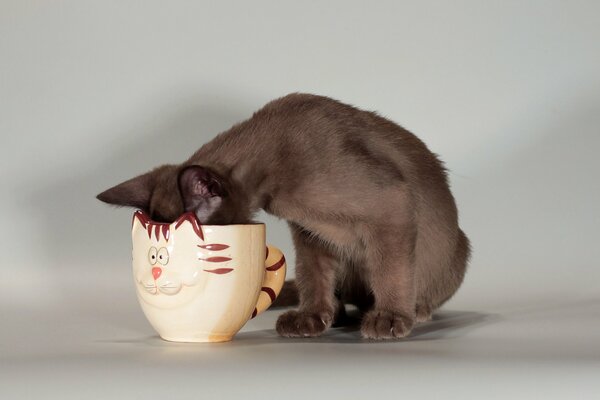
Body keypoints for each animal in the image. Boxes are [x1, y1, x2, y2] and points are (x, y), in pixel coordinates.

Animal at [98, 92, 472, 340]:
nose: (158, 267)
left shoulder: (390, 205)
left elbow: (389, 272)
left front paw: (390, 317)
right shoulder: (311, 234)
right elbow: (313, 278)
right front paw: (312, 317)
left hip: (457, 249)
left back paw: (413, 310)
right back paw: (337, 315)